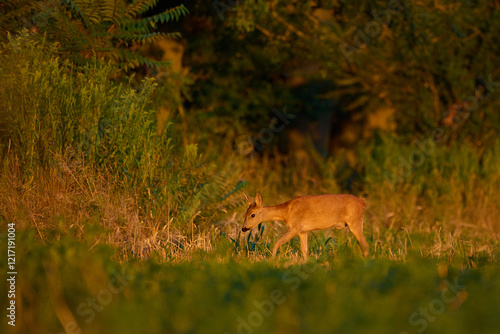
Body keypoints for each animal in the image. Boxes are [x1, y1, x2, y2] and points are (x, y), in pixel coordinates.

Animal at [240, 193, 370, 258]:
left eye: (252, 215)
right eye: (245, 214)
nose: (243, 228)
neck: (286, 212)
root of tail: (363, 202)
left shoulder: (295, 227)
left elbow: (278, 242)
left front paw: (272, 260)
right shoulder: (303, 231)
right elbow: (304, 250)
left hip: (355, 222)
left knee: (365, 245)